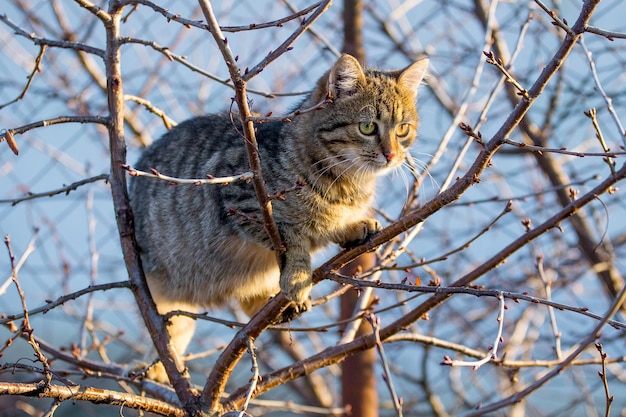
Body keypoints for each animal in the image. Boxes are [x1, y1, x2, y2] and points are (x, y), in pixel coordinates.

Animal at [129, 53, 426, 382]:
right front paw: (297, 276)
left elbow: (323, 227)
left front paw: (353, 227)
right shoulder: (244, 200)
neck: (347, 184)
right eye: (367, 127)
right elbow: (292, 236)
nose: (391, 155)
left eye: (403, 129)